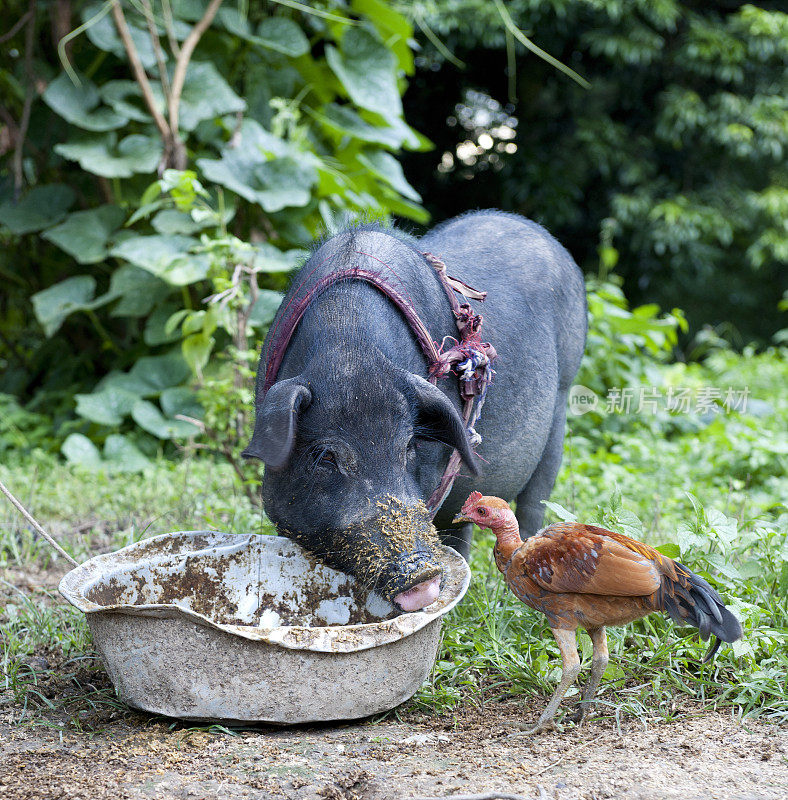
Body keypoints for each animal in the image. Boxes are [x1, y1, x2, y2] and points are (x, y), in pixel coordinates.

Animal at [245, 209, 584, 608]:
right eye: (326, 457)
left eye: (410, 446)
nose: (422, 579)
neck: (349, 352)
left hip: (562, 403)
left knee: (534, 504)